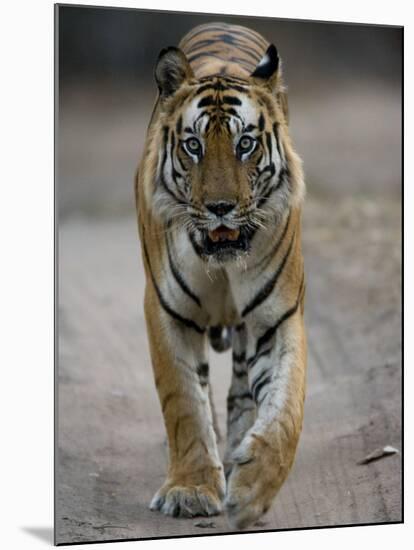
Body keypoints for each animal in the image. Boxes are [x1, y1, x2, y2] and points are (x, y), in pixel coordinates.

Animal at [134, 20, 306, 532]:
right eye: (193, 145)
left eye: (244, 143)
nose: (220, 208)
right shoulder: (167, 311)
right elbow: (184, 403)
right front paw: (191, 490)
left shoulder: (279, 316)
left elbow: (286, 408)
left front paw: (252, 489)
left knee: (245, 389)